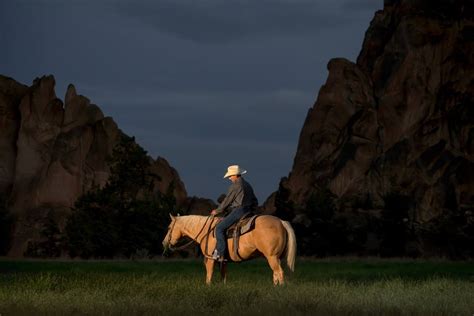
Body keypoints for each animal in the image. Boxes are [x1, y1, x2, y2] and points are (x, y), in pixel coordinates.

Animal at [163, 214, 296, 286]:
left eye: (169, 227)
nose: (164, 242)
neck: (207, 231)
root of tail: (281, 222)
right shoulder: (223, 261)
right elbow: (223, 275)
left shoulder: (210, 259)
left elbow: (209, 275)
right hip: (275, 258)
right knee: (275, 273)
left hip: (272, 257)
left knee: (279, 272)